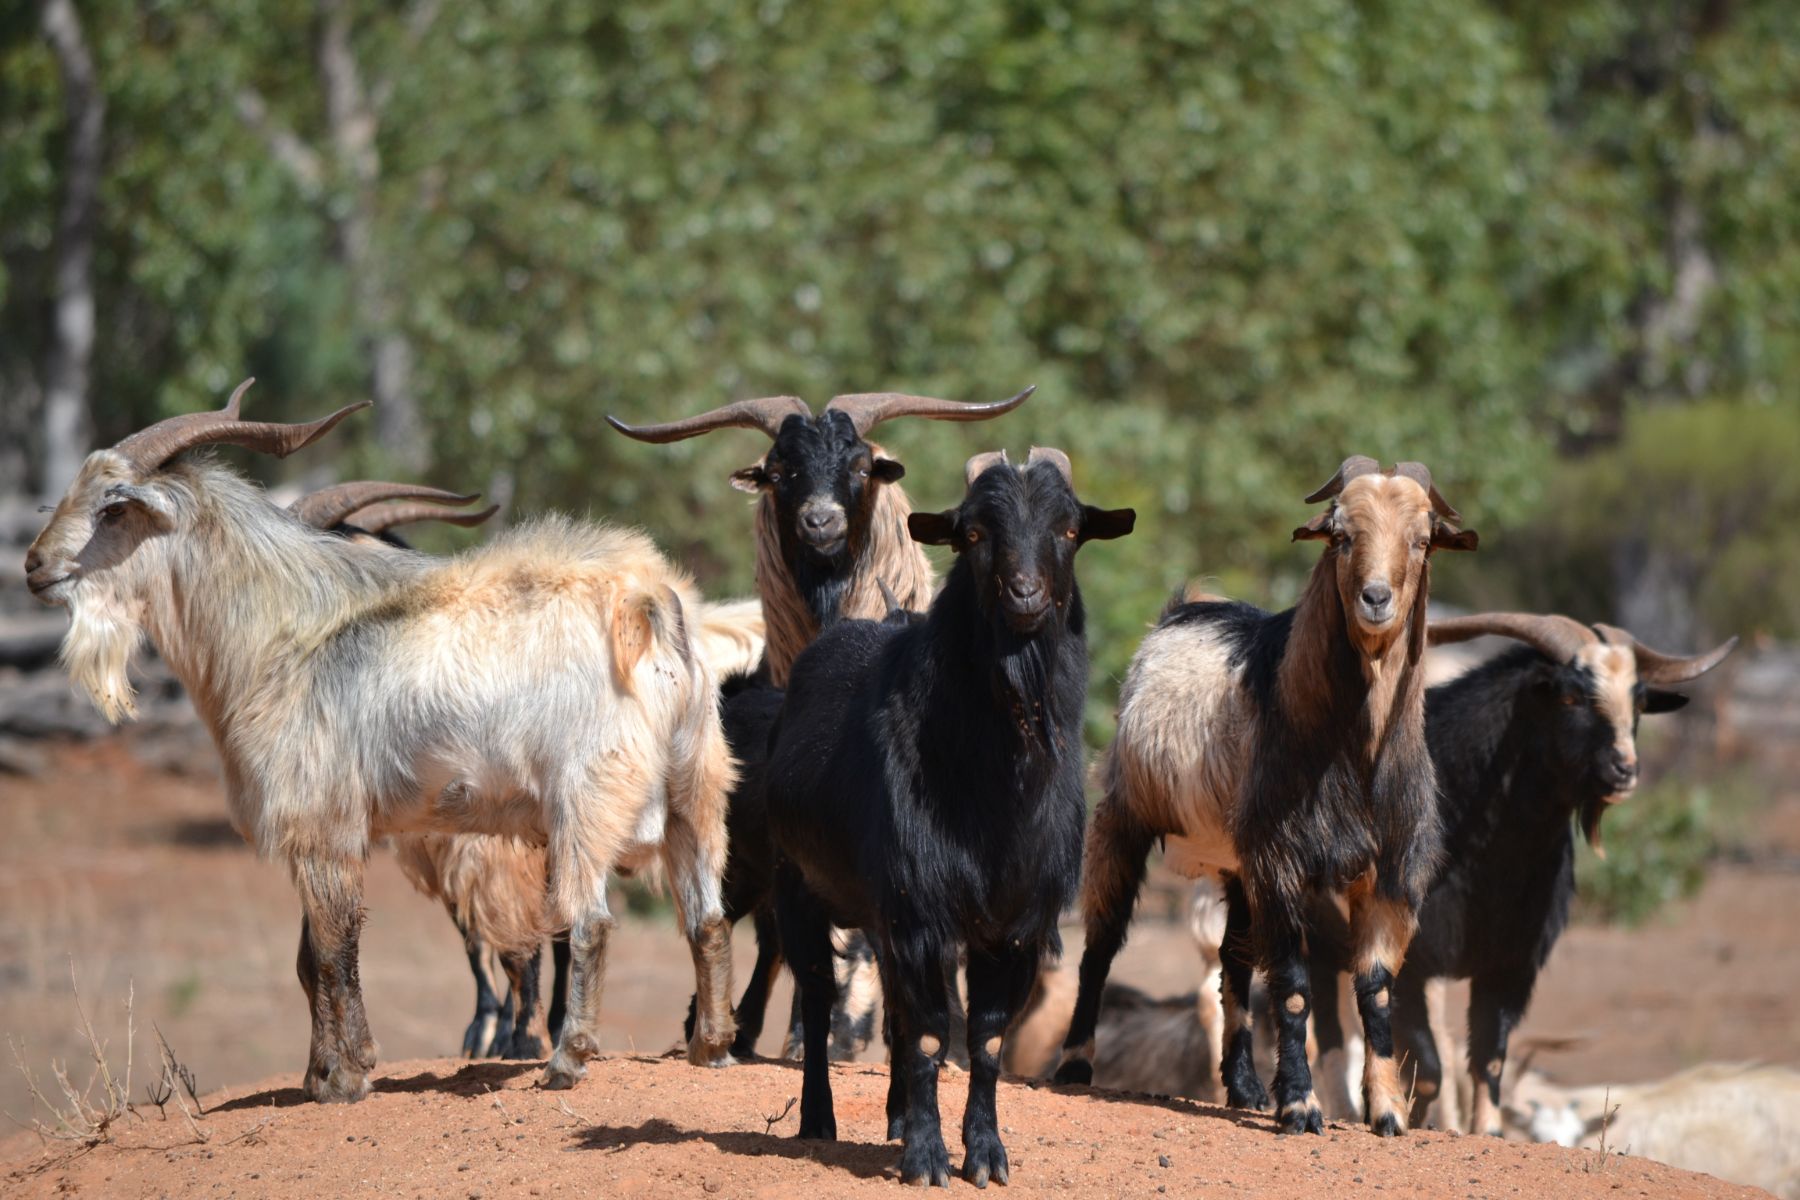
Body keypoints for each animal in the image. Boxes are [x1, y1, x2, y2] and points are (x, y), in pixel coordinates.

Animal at [22, 383, 738, 1101]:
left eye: (114, 508)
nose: (32, 566)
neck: (281, 633)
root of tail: (647, 608)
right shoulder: (330, 831)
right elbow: (309, 956)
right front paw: (318, 1076)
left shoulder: (323, 825)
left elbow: (332, 950)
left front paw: (348, 1075)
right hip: (697, 785)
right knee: (706, 915)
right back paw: (711, 1048)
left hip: (586, 797)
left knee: (590, 922)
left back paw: (566, 1061)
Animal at [766, 444, 1130, 1180]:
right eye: (974, 533)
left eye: (1069, 529)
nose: (1025, 596)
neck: (994, 792)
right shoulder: (920, 911)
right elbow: (935, 1034)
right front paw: (928, 1158)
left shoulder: (1014, 924)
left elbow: (981, 1040)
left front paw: (983, 1153)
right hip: (800, 885)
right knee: (818, 1000)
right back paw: (818, 1119)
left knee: (894, 1013)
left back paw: (896, 1116)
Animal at [1051, 456, 1476, 1137]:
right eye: (1341, 535)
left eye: (1422, 539)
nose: (1376, 599)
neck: (1355, 756)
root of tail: (1184, 608)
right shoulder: (1282, 860)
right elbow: (1295, 985)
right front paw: (1301, 1107)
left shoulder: (1389, 870)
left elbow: (1376, 988)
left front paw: (1386, 1112)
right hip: (1125, 816)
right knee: (1101, 944)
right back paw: (1074, 1065)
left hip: (1234, 861)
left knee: (1233, 959)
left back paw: (1244, 1087)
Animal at [1303, 615, 1735, 1129]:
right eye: (1569, 696)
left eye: (1639, 701)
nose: (1624, 770)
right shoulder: (1409, 960)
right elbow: (1427, 1068)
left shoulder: (1510, 967)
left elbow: (1488, 1065)